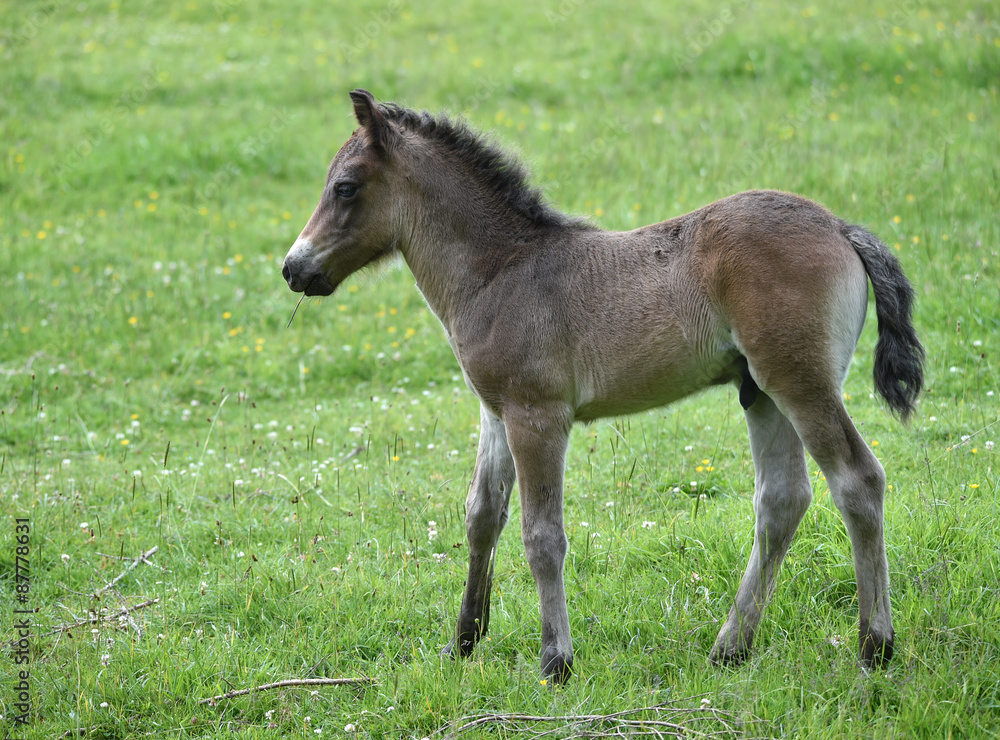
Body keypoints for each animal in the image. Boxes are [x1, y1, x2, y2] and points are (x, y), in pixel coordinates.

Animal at [281, 89, 923, 682]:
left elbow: (542, 536)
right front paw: (463, 641)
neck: (501, 271)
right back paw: (730, 648)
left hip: (800, 382)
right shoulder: (495, 412)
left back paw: (875, 645)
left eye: (345, 188)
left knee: (858, 480)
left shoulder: (538, 416)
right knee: (783, 500)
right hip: (760, 392)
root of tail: (840, 226)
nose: (293, 267)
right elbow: (482, 515)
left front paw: (555, 662)